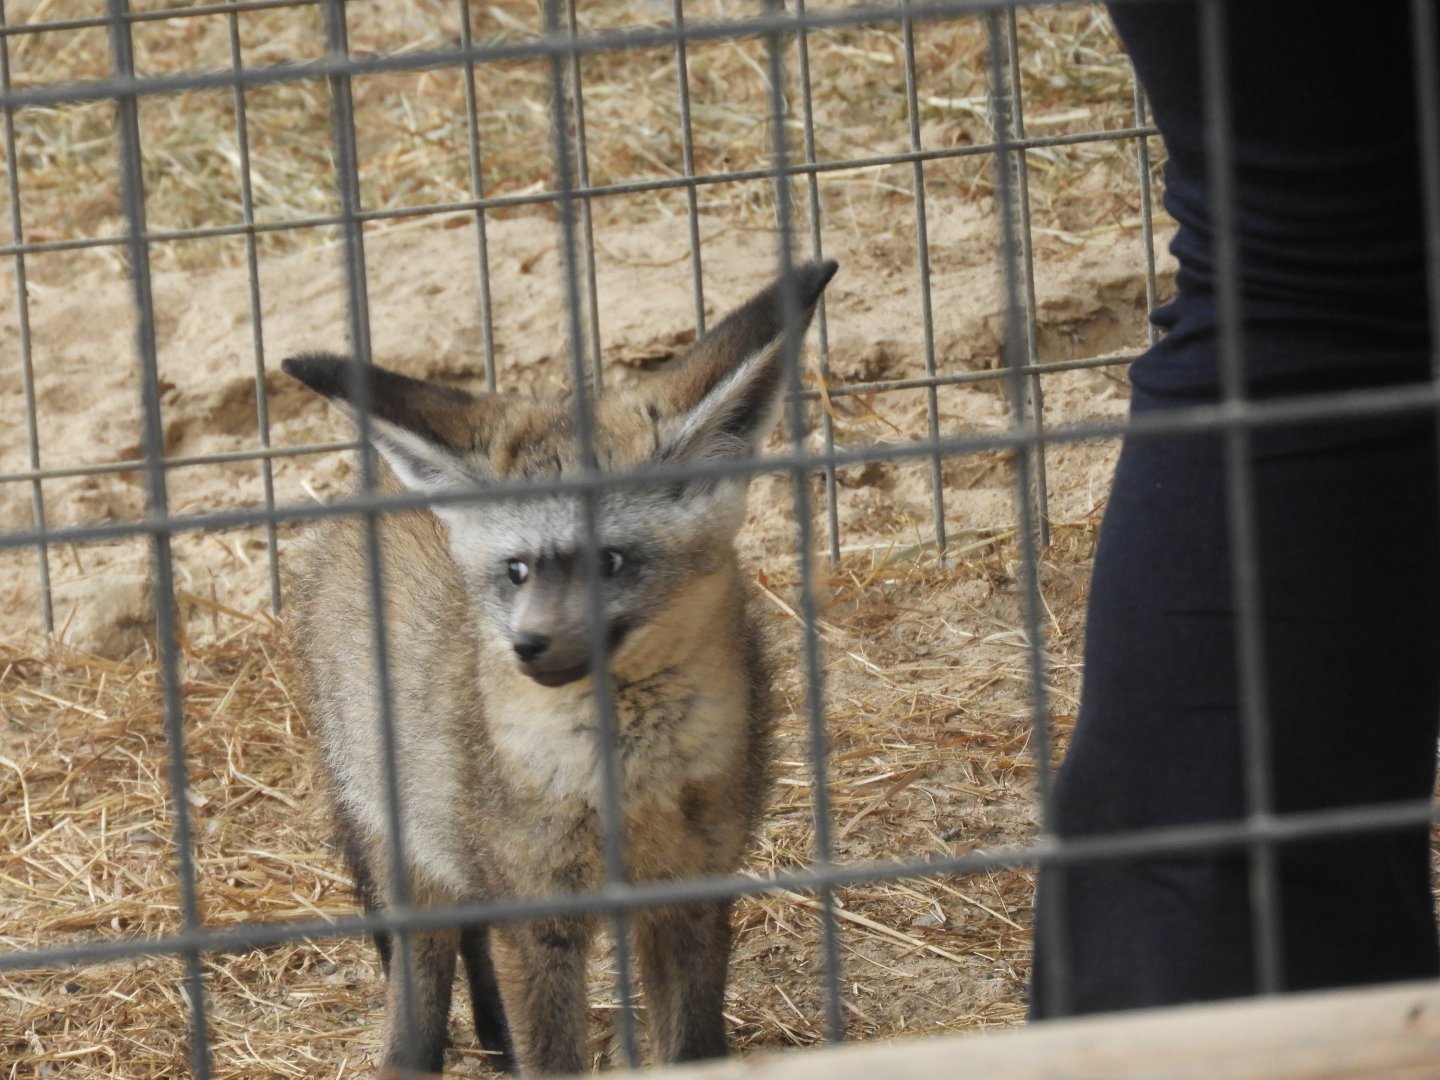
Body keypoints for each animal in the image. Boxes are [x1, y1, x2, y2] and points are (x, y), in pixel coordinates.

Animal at [282, 259, 839, 1076]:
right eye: (516, 571)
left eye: (609, 561)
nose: (530, 647)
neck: (626, 783)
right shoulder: (539, 918)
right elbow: (549, 1054)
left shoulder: (691, 896)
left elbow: (693, 1046)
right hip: (414, 858)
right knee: (419, 996)